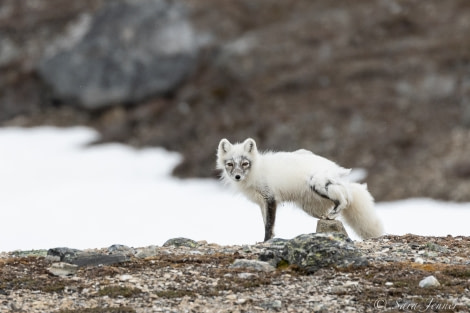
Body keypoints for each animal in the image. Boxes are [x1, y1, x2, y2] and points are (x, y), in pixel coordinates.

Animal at [218, 138, 386, 240]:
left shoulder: (270, 198)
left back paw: (333, 214)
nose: (237, 176)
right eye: (230, 164)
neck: (256, 170)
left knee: (344, 199)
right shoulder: (262, 203)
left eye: (245, 163)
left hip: (318, 184)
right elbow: (266, 223)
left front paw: (266, 241)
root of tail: (335, 167)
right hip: (309, 207)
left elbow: (268, 226)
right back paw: (328, 218)